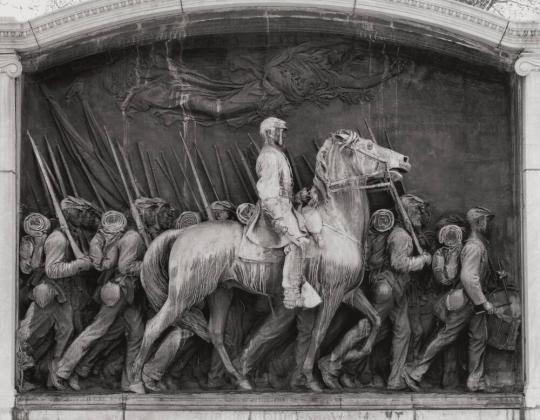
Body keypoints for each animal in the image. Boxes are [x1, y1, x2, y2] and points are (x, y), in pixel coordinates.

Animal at [130, 130, 410, 392]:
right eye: (369, 146)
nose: (404, 160)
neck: (336, 225)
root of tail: (182, 233)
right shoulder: (332, 294)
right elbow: (318, 335)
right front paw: (311, 378)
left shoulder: (349, 292)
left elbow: (374, 320)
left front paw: (348, 358)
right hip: (185, 293)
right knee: (154, 326)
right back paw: (136, 382)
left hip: (221, 291)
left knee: (215, 334)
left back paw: (241, 379)